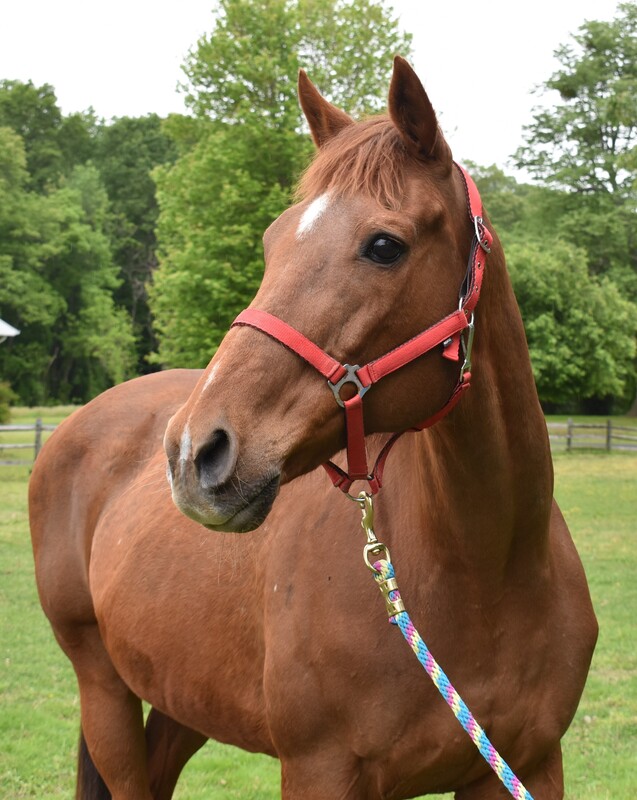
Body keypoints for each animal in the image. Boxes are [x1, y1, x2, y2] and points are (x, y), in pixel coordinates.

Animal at [29, 57, 596, 800]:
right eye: (273, 241)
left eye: (383, 246)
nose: (193, 452)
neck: (488, 570)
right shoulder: (319, 769)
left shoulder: (525, 765)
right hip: (103, 686)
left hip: (186, 694)